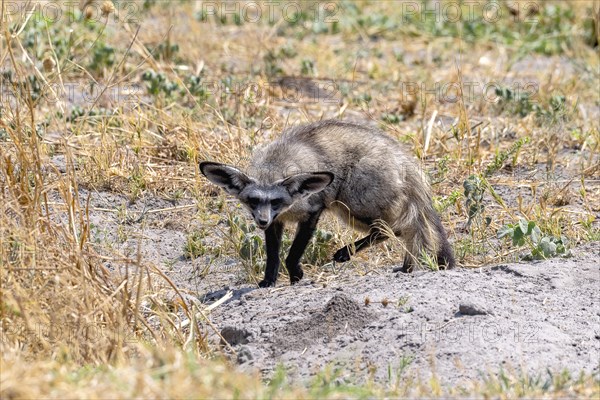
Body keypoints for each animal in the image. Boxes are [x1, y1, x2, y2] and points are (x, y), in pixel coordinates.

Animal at [200, 119, 454, 288]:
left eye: (276, 200)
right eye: (253, 201)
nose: (261, 221)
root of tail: (403, 157)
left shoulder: (313, 210)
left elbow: (293, 252)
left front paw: (295, 275)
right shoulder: (276, 222)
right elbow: (273, 255)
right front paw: (269, 279)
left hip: (353, 205)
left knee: (392, 229)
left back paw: (346, 252)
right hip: (349, 210)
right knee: (397, 230)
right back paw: (403, 266)